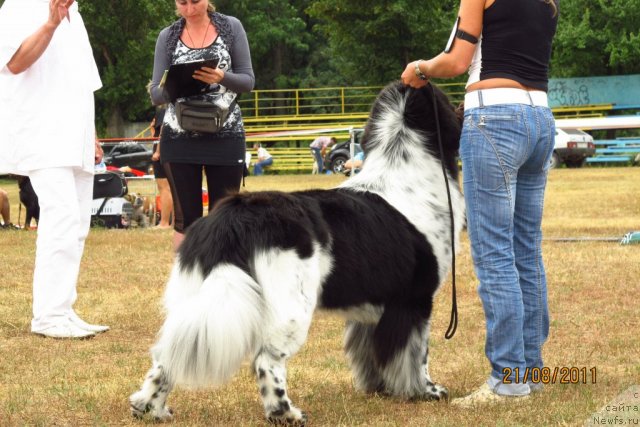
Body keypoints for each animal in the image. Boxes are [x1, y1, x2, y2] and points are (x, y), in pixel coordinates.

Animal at [129, 81, 464, 424]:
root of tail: (235, 218)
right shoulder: (414, 300)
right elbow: (415, 353)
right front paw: (425, 391)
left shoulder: (372, 307)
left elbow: (368, 351)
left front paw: (378, 388)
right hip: (290, 306)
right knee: (266, 361)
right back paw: (286, 413)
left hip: (193, 296)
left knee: (167, 354)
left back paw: (150, 409)